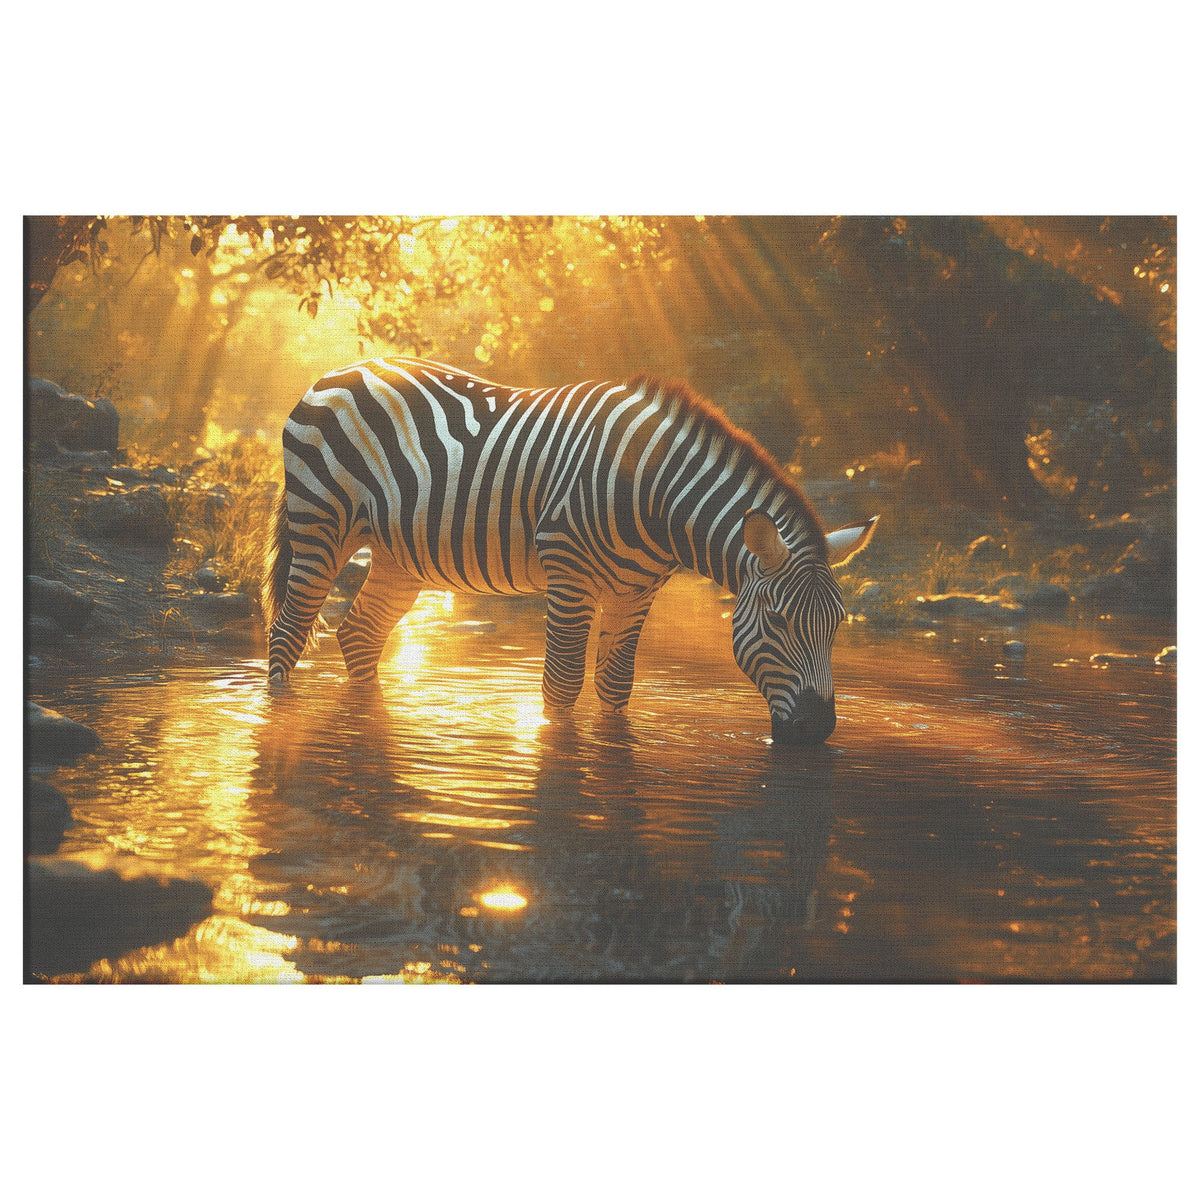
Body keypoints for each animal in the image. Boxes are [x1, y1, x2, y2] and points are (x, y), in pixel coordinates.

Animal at [262, 357, 876, 744]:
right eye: (778, 621)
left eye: (836, 625)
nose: (817, 732)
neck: (653, 492)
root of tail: (338, 370)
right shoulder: (568, 573)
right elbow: (560, 684)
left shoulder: (636, 590)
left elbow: (616, 684)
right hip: (320, 523)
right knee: (289, 631)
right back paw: (277, 719)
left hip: (399, 555)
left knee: (358, 634)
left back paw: (368, 716)